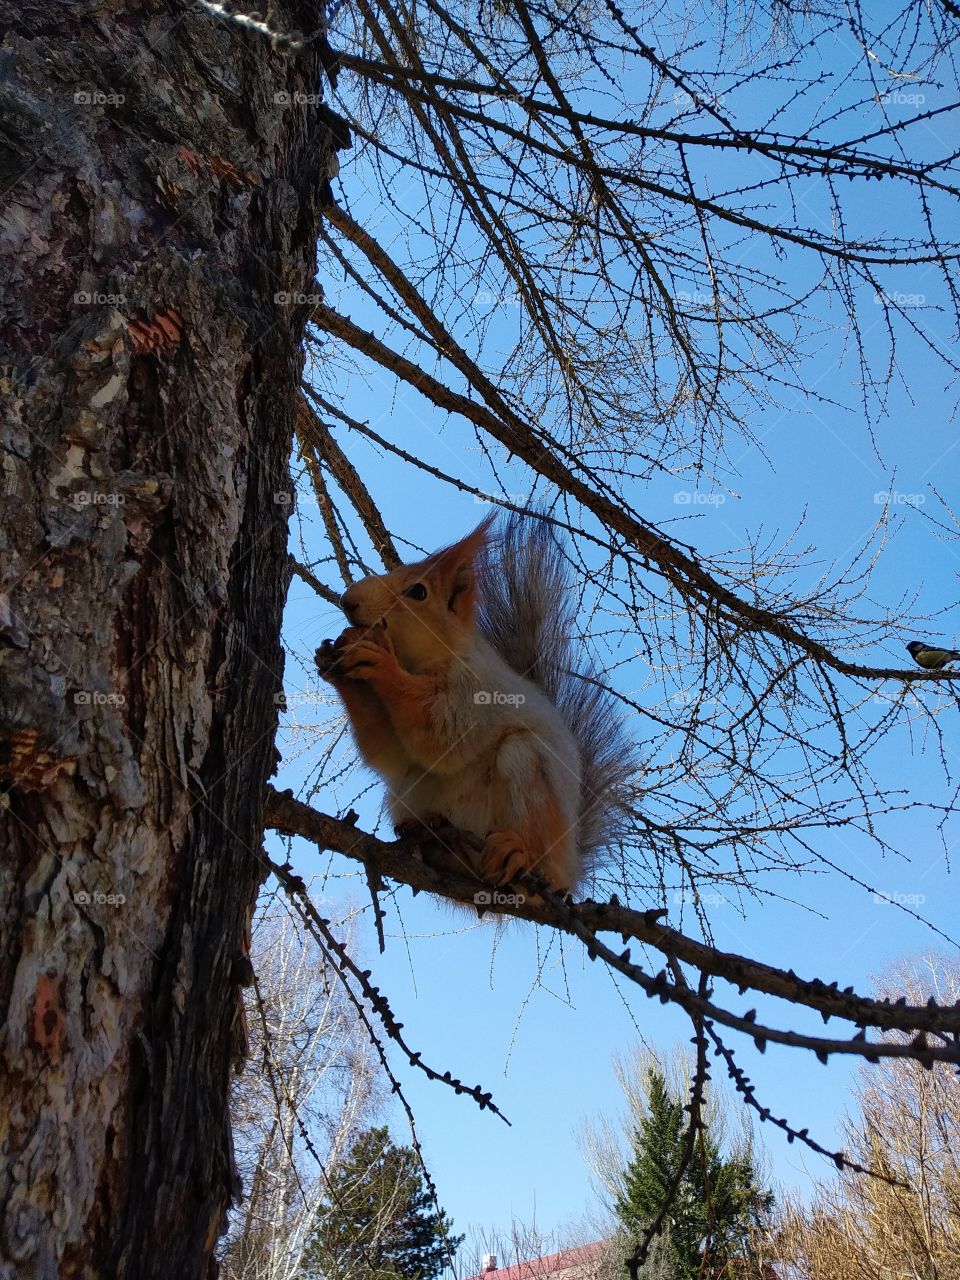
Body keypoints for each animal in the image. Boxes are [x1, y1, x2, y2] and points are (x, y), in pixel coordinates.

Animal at [315, 511, 636, 894]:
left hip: (529, 771)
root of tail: (571, 872)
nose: (348, 600)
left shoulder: (475, 692)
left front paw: (382, 665)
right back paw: (437, 847)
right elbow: (387, 753)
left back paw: (517, 854)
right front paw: (336, 668)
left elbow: (440, 735)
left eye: (417, 592)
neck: (423, 662)